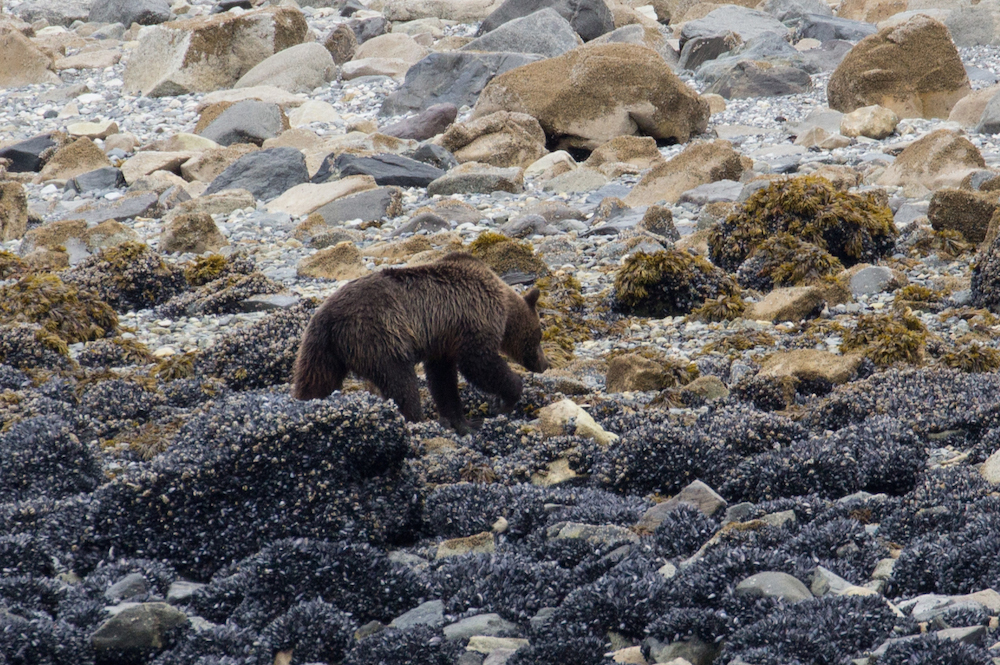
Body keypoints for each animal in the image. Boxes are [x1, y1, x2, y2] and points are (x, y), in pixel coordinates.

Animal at [292, 252, 549, 434]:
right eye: (539, 336)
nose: (545, 364)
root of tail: (327, 317)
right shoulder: (474, 319)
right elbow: (479, 363)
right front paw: (506, 399)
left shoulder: (443, 342)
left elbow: (443, 380)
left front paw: (463, 422)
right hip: (379, 334)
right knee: (400, 382)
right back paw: (417, 420)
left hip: (320, 349)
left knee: (315, 380)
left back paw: (305, 403)